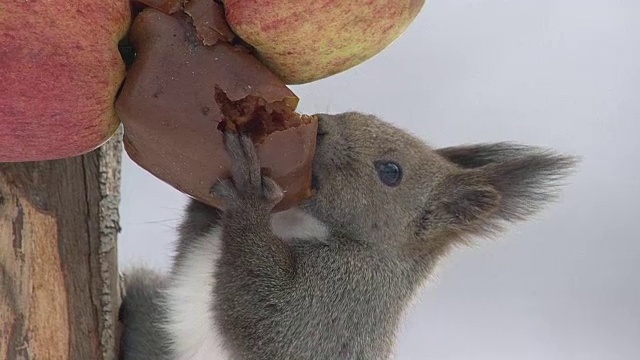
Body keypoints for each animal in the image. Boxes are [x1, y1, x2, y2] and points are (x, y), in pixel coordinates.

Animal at [117, 111, 576, 358]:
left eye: (390, 172)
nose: (320, 127)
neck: (298, 221)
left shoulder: (341, 300)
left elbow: (269, 321)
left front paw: (248, 197)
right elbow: (190, 245)